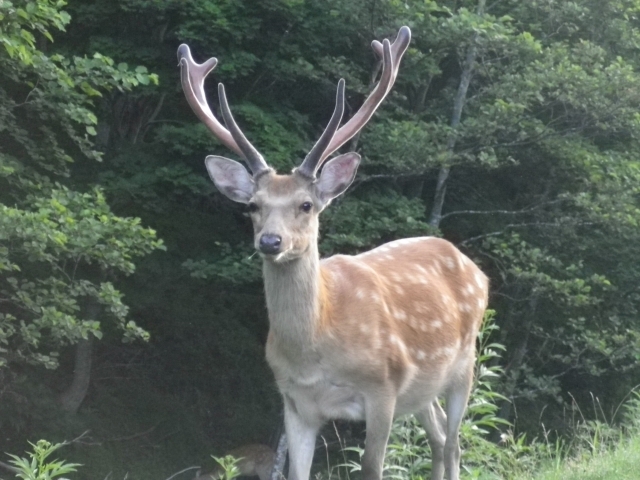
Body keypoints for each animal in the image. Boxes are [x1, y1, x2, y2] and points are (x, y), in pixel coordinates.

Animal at [180, 26, 490, 480]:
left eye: (306, 205)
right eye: (252, 205)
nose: (270, 242)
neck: (317, 351)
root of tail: (474, 267)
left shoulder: (383, 389)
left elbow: (372, 469)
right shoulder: (295, 403)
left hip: (464, 363)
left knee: (454, 444)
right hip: (422, 390)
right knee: (437, 438)